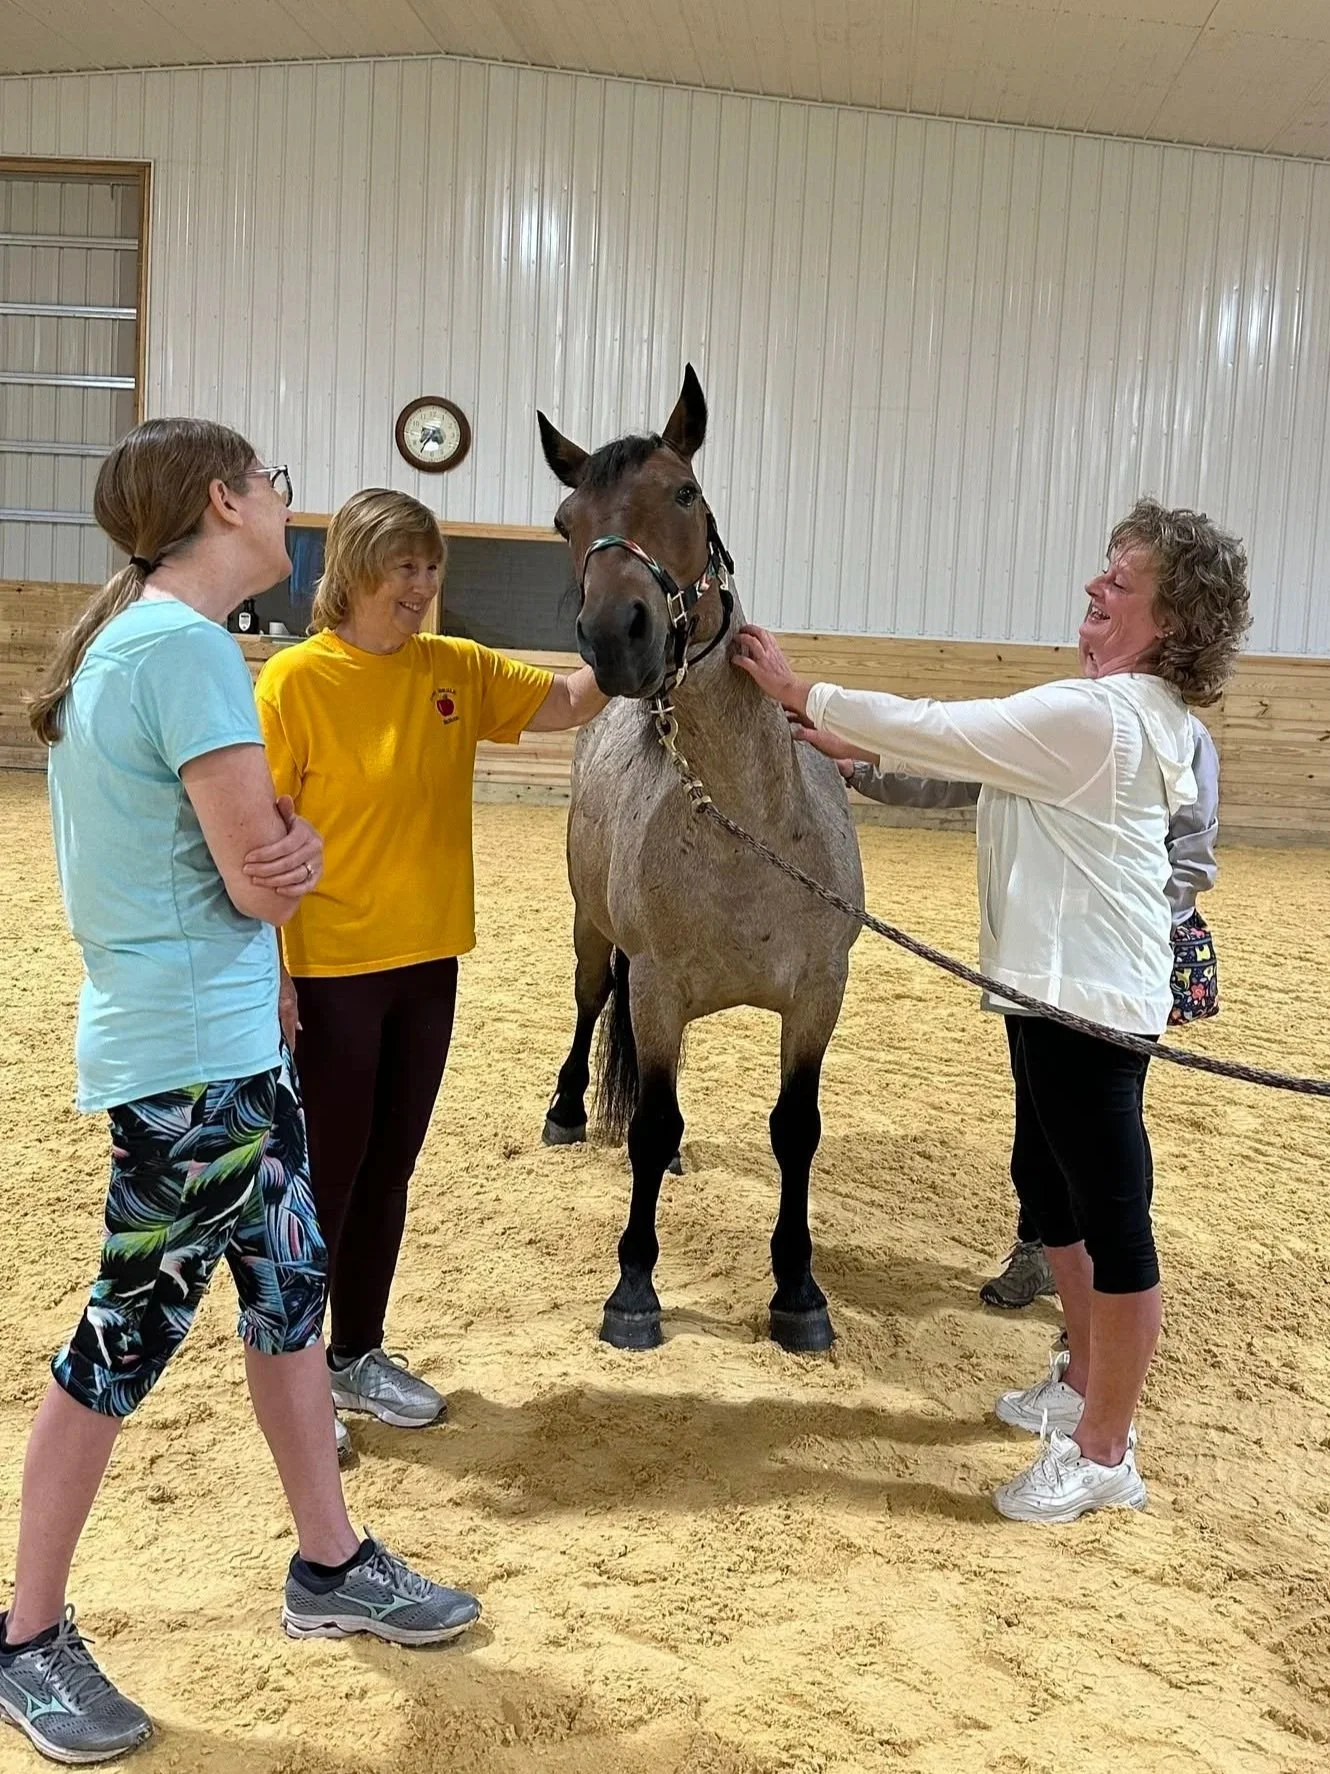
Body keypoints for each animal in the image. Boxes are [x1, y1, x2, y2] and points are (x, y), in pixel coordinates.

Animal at [537, 366, 864, 1354]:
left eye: (684, 492)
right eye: (566, 520)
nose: (617, 636)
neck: (748, 826)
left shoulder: (818, 995)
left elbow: (796, 1130)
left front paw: (798, 1289)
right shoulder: (655, 985)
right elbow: (647, 1125)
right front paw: (634, 1288)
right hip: (594, 937)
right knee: (589, 1006)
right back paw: (567, 1111)